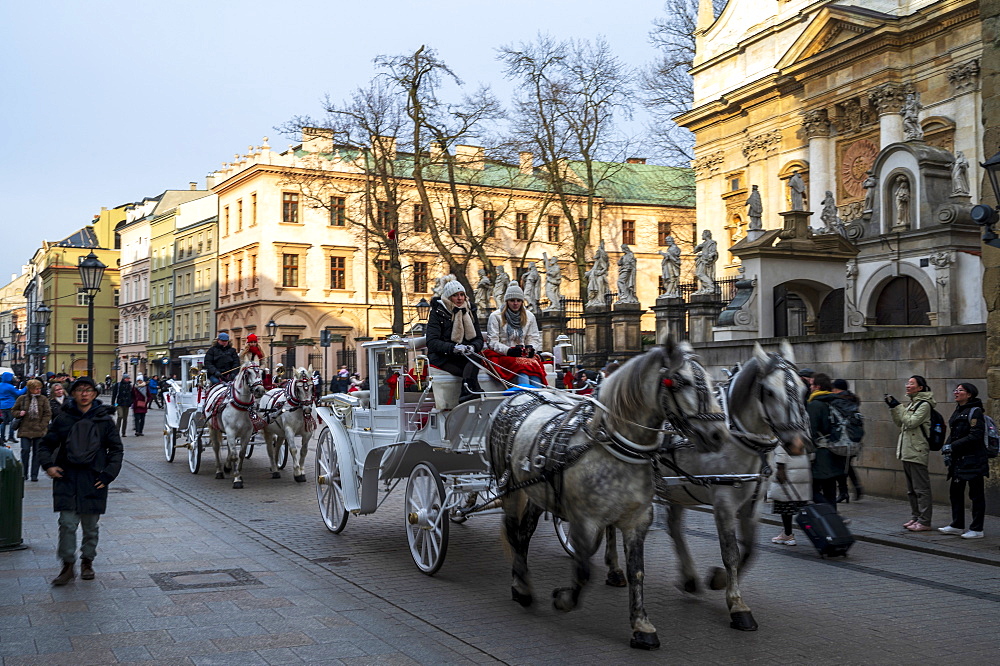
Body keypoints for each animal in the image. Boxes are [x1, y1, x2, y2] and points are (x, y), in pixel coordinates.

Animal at [204, 358, 266, 488]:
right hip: (212, 427)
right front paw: (237, 479)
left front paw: (238, 471)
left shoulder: (247, 433)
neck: (241, 405)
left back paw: (227, 467)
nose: (260, 390)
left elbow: (241, 453)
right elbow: (234, 455)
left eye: (261, 372)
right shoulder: (230, 431)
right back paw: (219, 471)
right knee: (216, 448)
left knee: (229, 447)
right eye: (248, 373)